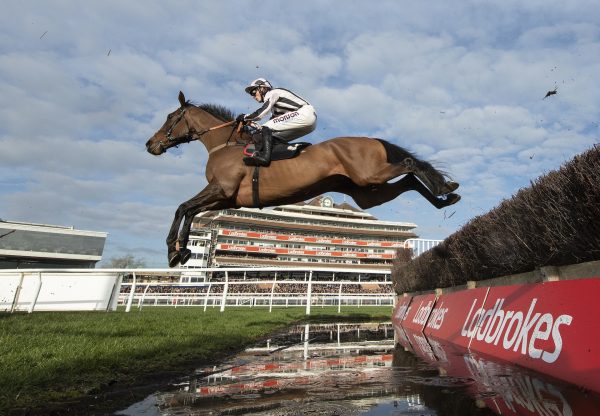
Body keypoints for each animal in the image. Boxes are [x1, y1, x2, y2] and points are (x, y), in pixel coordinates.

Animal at [145, 91, 460, 266]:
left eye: (170, 116)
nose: (151, 144)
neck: (226, 144)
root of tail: (372, 139)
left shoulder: (221, 189)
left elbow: (182, 208)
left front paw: (174, 251)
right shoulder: (227, 198)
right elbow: (190, 212)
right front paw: (182, 250)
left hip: (368, 176)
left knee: (408, 164)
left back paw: (444, 189)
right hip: (367, 192)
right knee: (408, 181)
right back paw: (446, 196)